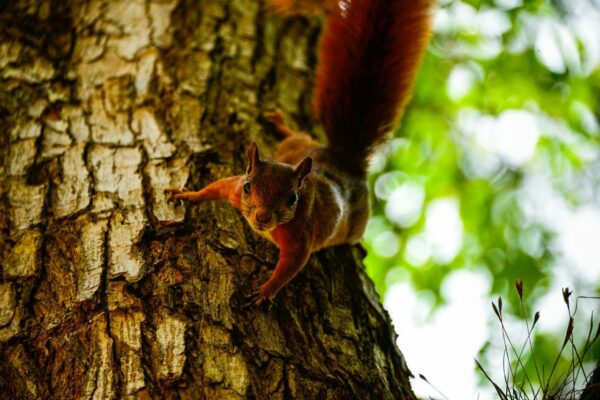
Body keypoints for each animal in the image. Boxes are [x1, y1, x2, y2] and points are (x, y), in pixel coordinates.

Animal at [166, 0, 434, 306]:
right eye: (248, 187)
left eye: (293, 198)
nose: (262, 218)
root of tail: (344, 157)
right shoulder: (233, 189)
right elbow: (215, 188)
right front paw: (187, 195)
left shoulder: (300, 236)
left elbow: (291, 266)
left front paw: (265, 292)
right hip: (297, 146)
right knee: (298, 135)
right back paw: (279, 124)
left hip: (358, 218)